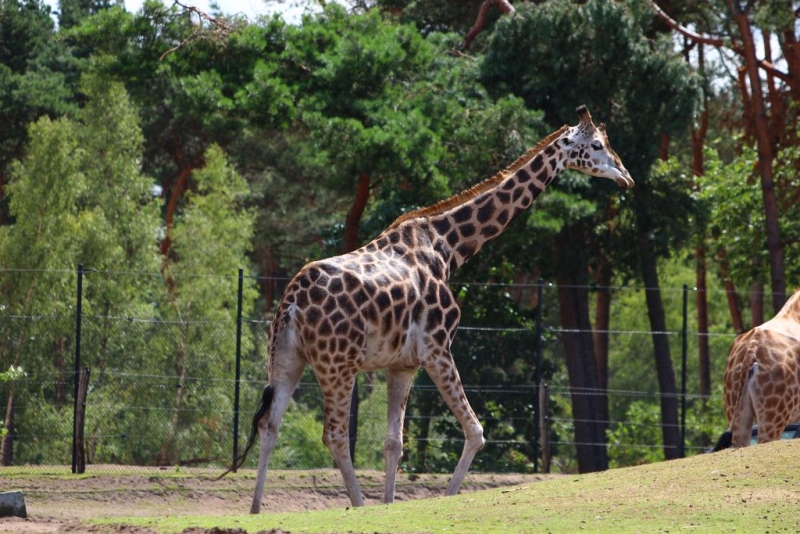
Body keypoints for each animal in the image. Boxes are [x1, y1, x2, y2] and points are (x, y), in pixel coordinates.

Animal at [223, 105, 632, 516]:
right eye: (598, 145)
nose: (626, 177)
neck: (449, 246)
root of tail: (291, 302)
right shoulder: (437, 348)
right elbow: (475, 431)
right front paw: (443, 498)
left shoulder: (403, 363)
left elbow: (394, 442)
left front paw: (390, 503)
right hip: (339, 363)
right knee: (335, 434)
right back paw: (357, 504)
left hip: (287, 358)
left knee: (270, 424)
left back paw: (256, 509)